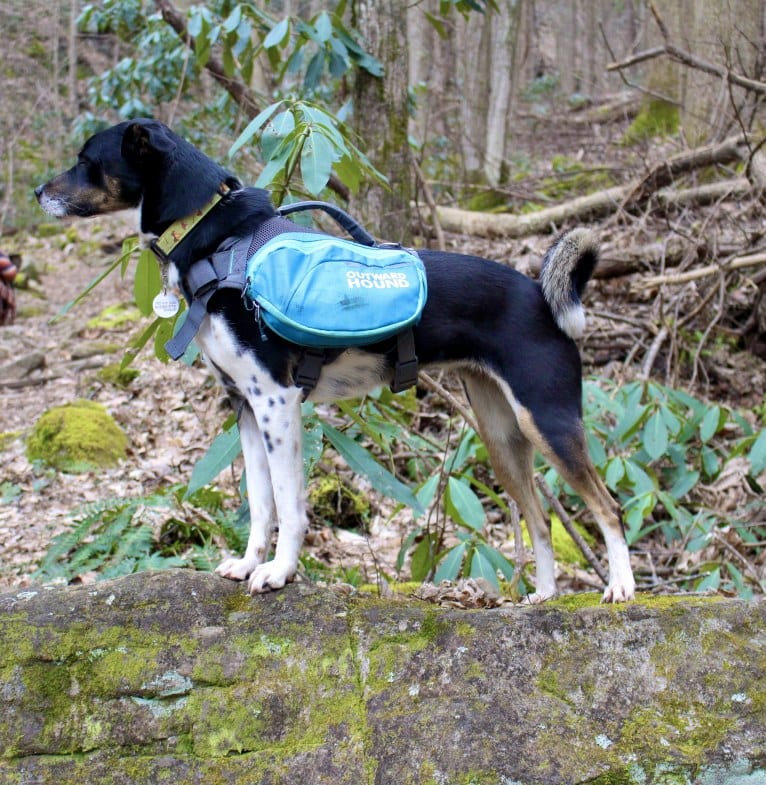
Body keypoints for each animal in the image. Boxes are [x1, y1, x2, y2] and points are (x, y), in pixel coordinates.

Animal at [34, 121, 636, 600]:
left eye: (87, 160)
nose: (38, 190)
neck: (219, 242)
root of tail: (540, 295)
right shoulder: (245, 408)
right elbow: (261, 505)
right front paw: (250, 564)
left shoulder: (276, 402)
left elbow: (288, 504)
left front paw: (278, 573)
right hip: (502, 437)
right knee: (539, 518)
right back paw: (544, 596)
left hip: (547, 421)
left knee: (608, 507)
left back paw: (621, 587)